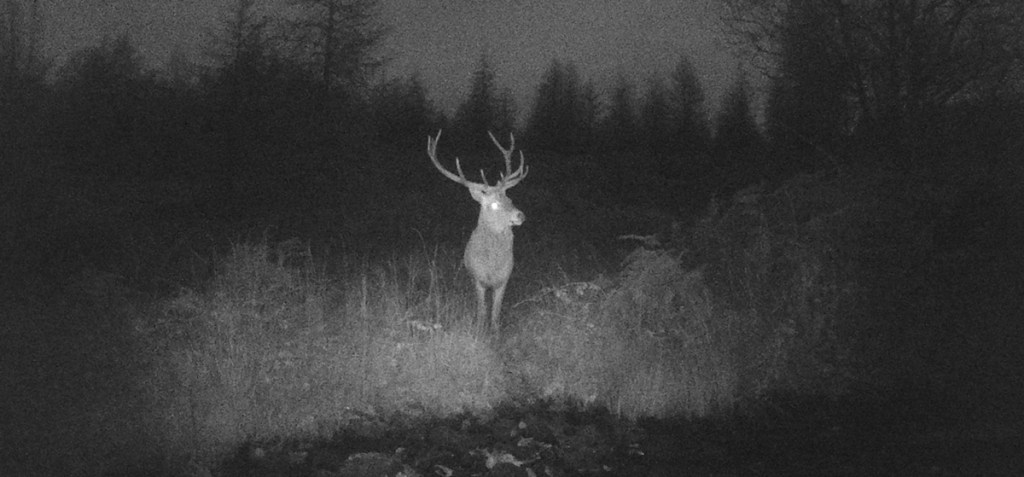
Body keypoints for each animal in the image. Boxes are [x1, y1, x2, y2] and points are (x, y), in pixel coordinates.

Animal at [427, 130, 529, 333]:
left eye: (510, 199)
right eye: (495, 204)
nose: (520, 215)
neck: (492, 265)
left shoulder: (504, 279)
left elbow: (496, 313)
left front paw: (495, 333)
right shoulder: (478, 279)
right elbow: (482, 311)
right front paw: (480, 331)